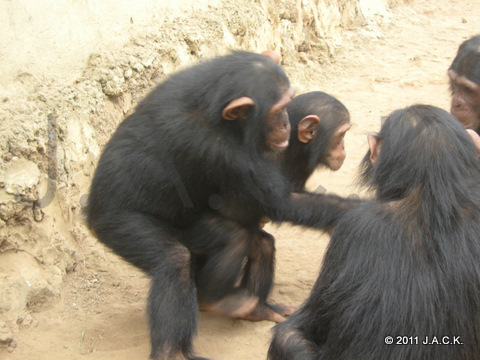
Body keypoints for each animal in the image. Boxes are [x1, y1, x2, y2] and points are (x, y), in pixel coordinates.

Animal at [86, 50, 358, 360]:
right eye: (341, 135)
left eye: (287, 104)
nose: (285, 124)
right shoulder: (226, 150)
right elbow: (280, 202)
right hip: (123, 225)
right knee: (187, 256)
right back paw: (194, 325)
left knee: (260, 244)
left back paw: (257, 307)